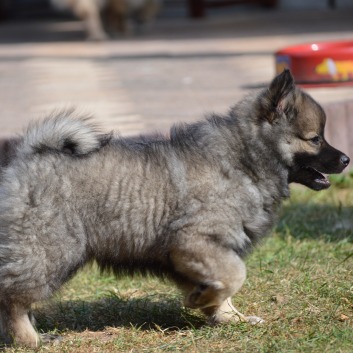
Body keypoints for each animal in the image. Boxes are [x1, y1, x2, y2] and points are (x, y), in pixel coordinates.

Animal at [0, 69, 348, 346]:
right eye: (315, 139)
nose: (346, 159)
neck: (246, 160)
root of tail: (26, 158)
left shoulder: (199, 254)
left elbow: (225, 285)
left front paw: (229, 316)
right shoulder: (195, 241)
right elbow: (236, 274)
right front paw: (203, 300)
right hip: (51, 251)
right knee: (15, 299)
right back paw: (31, 340)